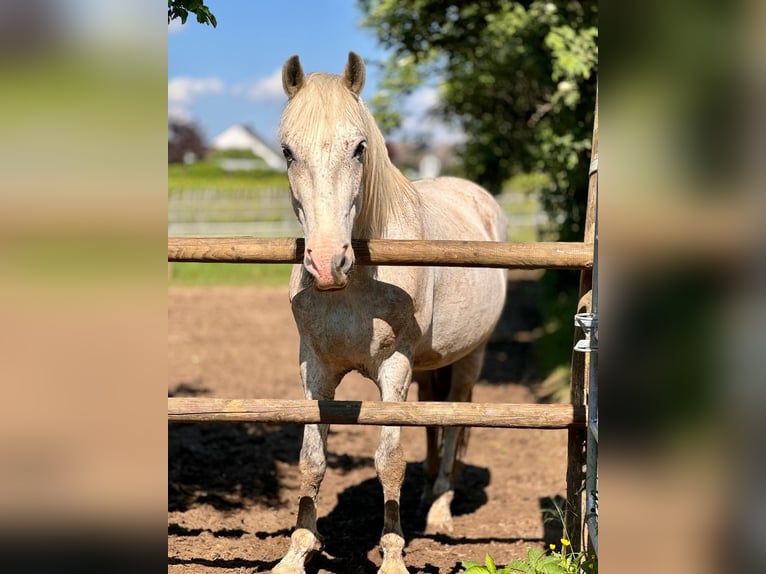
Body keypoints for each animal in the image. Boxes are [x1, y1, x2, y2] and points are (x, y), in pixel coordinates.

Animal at [272, 52, 508, 574]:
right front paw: (298, 551)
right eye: (287, 152)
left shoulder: (395, 366)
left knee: (454, 421)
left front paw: (394, 555)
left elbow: (389, 460)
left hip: (471, 357)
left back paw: (440, 507)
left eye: (359, 148)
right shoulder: (313, 368)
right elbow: (311, 460)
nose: (326, 262)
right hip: (430, 365)